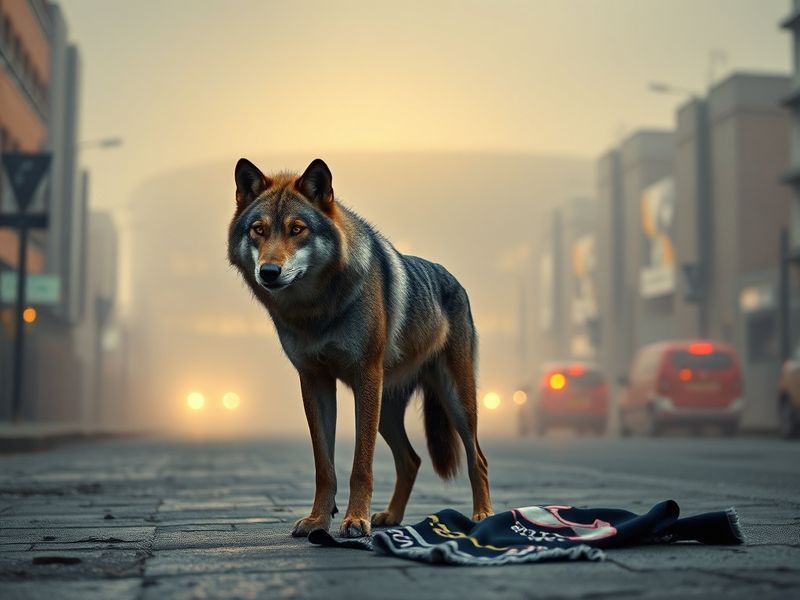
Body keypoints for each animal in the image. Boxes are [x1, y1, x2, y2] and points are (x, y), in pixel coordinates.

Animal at [227, 158, 493, 538]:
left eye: (297, 229)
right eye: (258, 230)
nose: (269, 272)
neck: (316, 311)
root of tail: (453, 279)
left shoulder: (365, 376)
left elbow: (360, 465)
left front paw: (355, 520)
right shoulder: (315, 381)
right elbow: (325, 468)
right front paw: (318, 521)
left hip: (454, 400)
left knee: (478, 459)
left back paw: (483, 515)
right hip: (387, 411)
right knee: (411, 460)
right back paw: (391, 516)